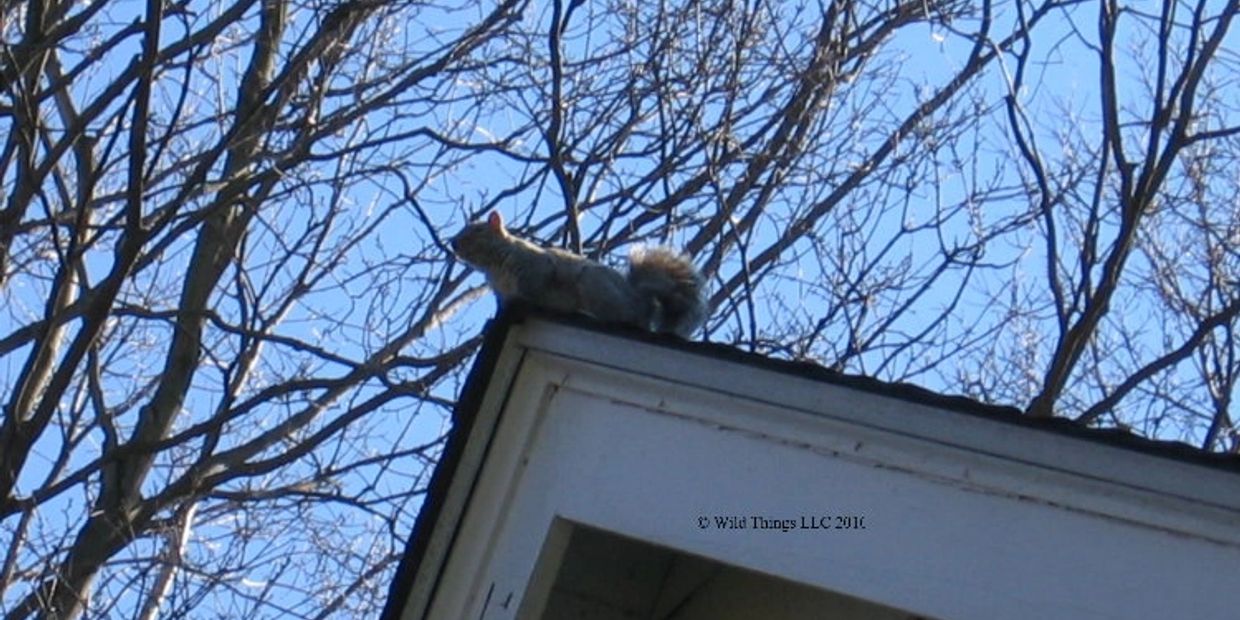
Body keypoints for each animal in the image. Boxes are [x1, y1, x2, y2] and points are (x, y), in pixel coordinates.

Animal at [453, 213, 709, 339]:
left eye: (478, 230)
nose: (453, 243)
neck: (494, 265)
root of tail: (641, 303)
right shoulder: (500, 291)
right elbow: (502, 307)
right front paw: (492, 323)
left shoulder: (534, 266)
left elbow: (532, 289)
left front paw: (524, 301)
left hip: (593, 286)